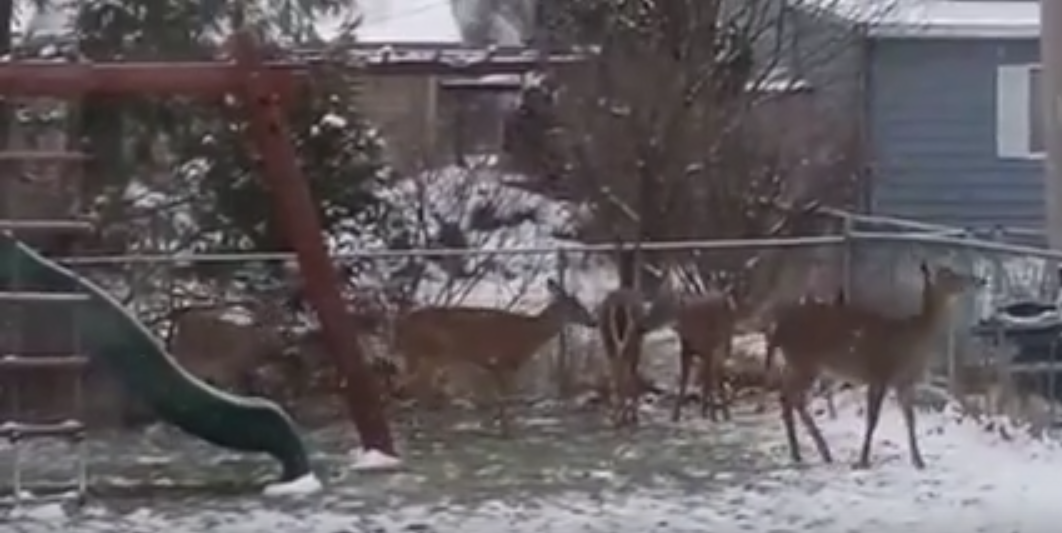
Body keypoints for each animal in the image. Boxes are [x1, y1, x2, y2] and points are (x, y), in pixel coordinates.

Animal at [386, 276, 598, 435]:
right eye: (576, 307)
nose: (593, 322)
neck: (530, 333)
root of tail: (399, 327)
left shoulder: (496, 366)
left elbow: (501, 399)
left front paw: (496, 425)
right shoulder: (504, 363)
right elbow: (505, 398)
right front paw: (507, 430)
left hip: (424, 358)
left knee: (413, 388)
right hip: (429, 354)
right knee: (406, 387)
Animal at [773, 262, 977, 471]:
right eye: (948, 274)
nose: (978, 280)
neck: (913, 337)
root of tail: (779, 328)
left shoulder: (904, 382)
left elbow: (910, 419)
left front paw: (919, 461)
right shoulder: (880, 374)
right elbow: (873, 419)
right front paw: (863, 460)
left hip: (799, 364)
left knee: (786, 396)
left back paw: (812, 452)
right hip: (805, 362)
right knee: (792, 398)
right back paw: (808, 452)